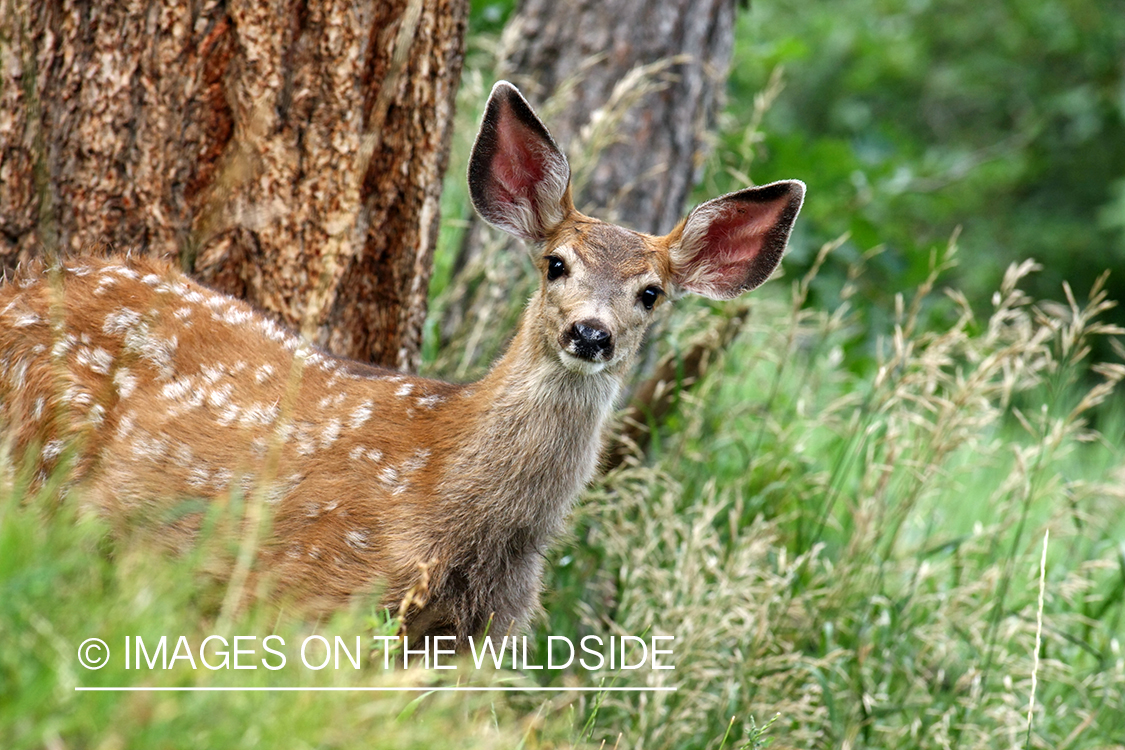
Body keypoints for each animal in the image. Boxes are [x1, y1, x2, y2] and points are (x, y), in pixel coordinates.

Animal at [0, 81, 804, 649]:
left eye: (651, 293)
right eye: (556, 264)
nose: (590, 333)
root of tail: (24, 288)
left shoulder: (474, 640)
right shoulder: (309, 590)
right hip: (33, 455)